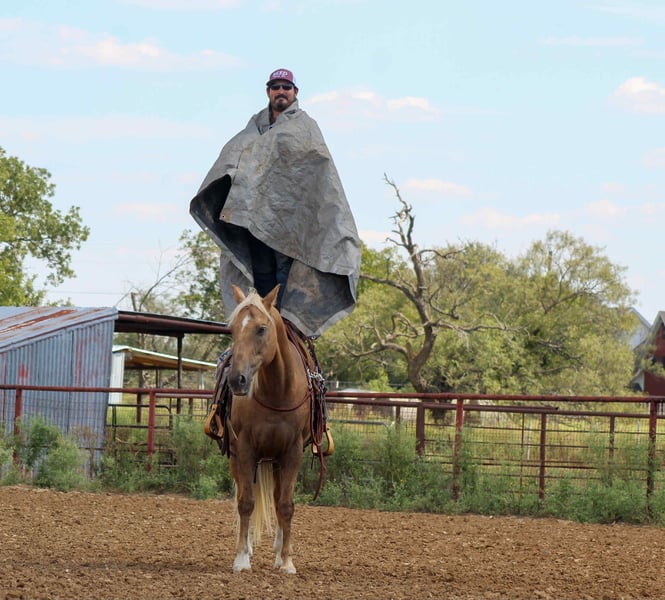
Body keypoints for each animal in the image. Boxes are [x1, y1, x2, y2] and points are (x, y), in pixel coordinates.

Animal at [224, 284, 313, 574]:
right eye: (232, 330)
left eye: (261, 329)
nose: (237, 380)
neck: (277, 392)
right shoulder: (244, 449)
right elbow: (246, 502)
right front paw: (242, 558)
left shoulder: (292, 452)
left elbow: (285, 505)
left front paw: (286, 561)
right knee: (244, 494)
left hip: (276, 461)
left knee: (276, 498)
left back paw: (277, 551)